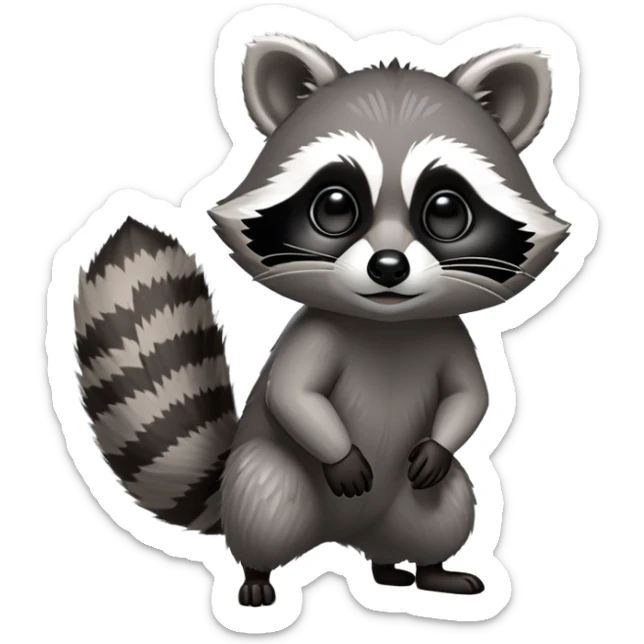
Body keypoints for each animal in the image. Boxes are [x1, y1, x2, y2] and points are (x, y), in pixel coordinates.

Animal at [74, 34, 570, 607]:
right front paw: (341, 454)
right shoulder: (316, 333)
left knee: (444, 508)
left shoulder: (450, 333)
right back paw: (258, 576)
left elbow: (472, 395)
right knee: (264, 497)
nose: (388, 268)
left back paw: (421, 569)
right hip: (268, 479)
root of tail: (343, 536)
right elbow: (292, 395)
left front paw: (442, 442)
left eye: (446, 211)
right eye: (335, 206)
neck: (387, 325)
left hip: (412, 502)